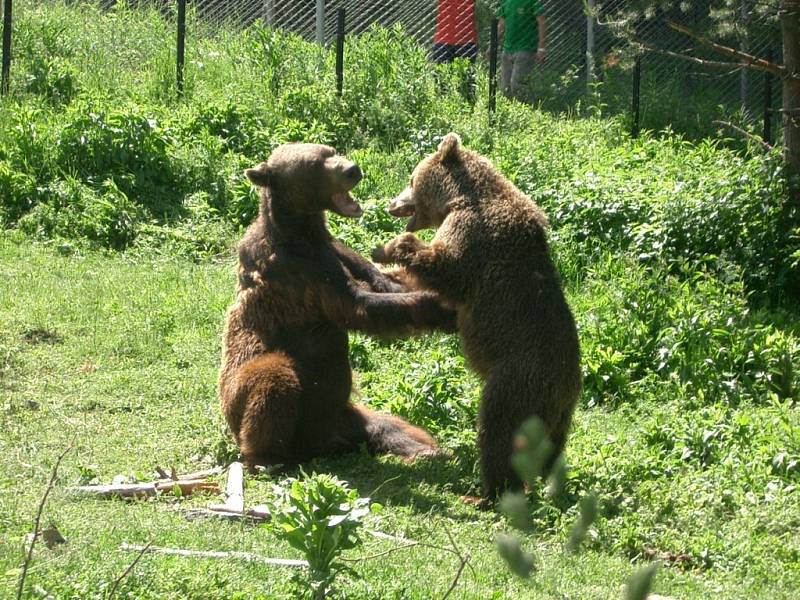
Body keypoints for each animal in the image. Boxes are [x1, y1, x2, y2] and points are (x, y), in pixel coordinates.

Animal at [219, 143, 456, 466]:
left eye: (330, 150)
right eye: (313, 164)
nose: (352, 169)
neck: (302, 233)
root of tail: (326, 441)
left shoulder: (335, 251)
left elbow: (378, 279)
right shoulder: (301, 272)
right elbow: (360, 305)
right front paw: (444, 309)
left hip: (349, 416)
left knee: (394, 427)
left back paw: (427, 449)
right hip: (246, 396)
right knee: (274, 377)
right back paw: (271, 457)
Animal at [372, 132, 584, 502]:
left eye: (411, 179)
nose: (391, 203)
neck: (458, 200)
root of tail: (566, 386)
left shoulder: (474, 239)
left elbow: (445, 270)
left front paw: (390, 247)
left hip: (515, 382)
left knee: (498, 431)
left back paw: (488, 492)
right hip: (559, 415)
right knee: (551, 450)